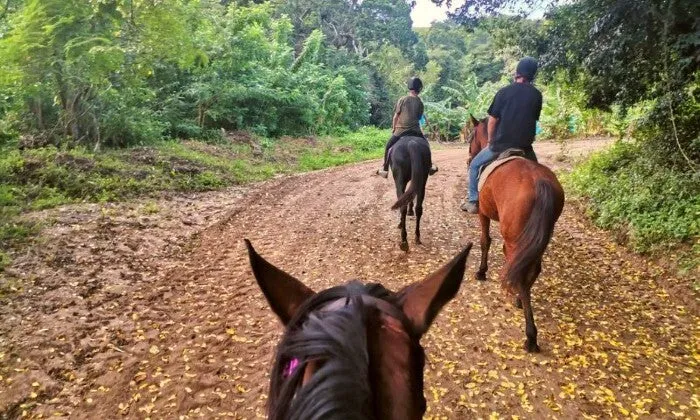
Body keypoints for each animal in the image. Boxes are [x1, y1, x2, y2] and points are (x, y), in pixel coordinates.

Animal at [464, 114, 564, 352]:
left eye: (471, 137)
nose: (469, 159)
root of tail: (539, 181)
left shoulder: (483, 212)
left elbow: (485, 241)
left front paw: (481, 272)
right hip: (540, 235)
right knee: (530, 267)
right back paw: (521, 300)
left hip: (514, 236)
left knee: (518, 266)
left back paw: (530, 335)